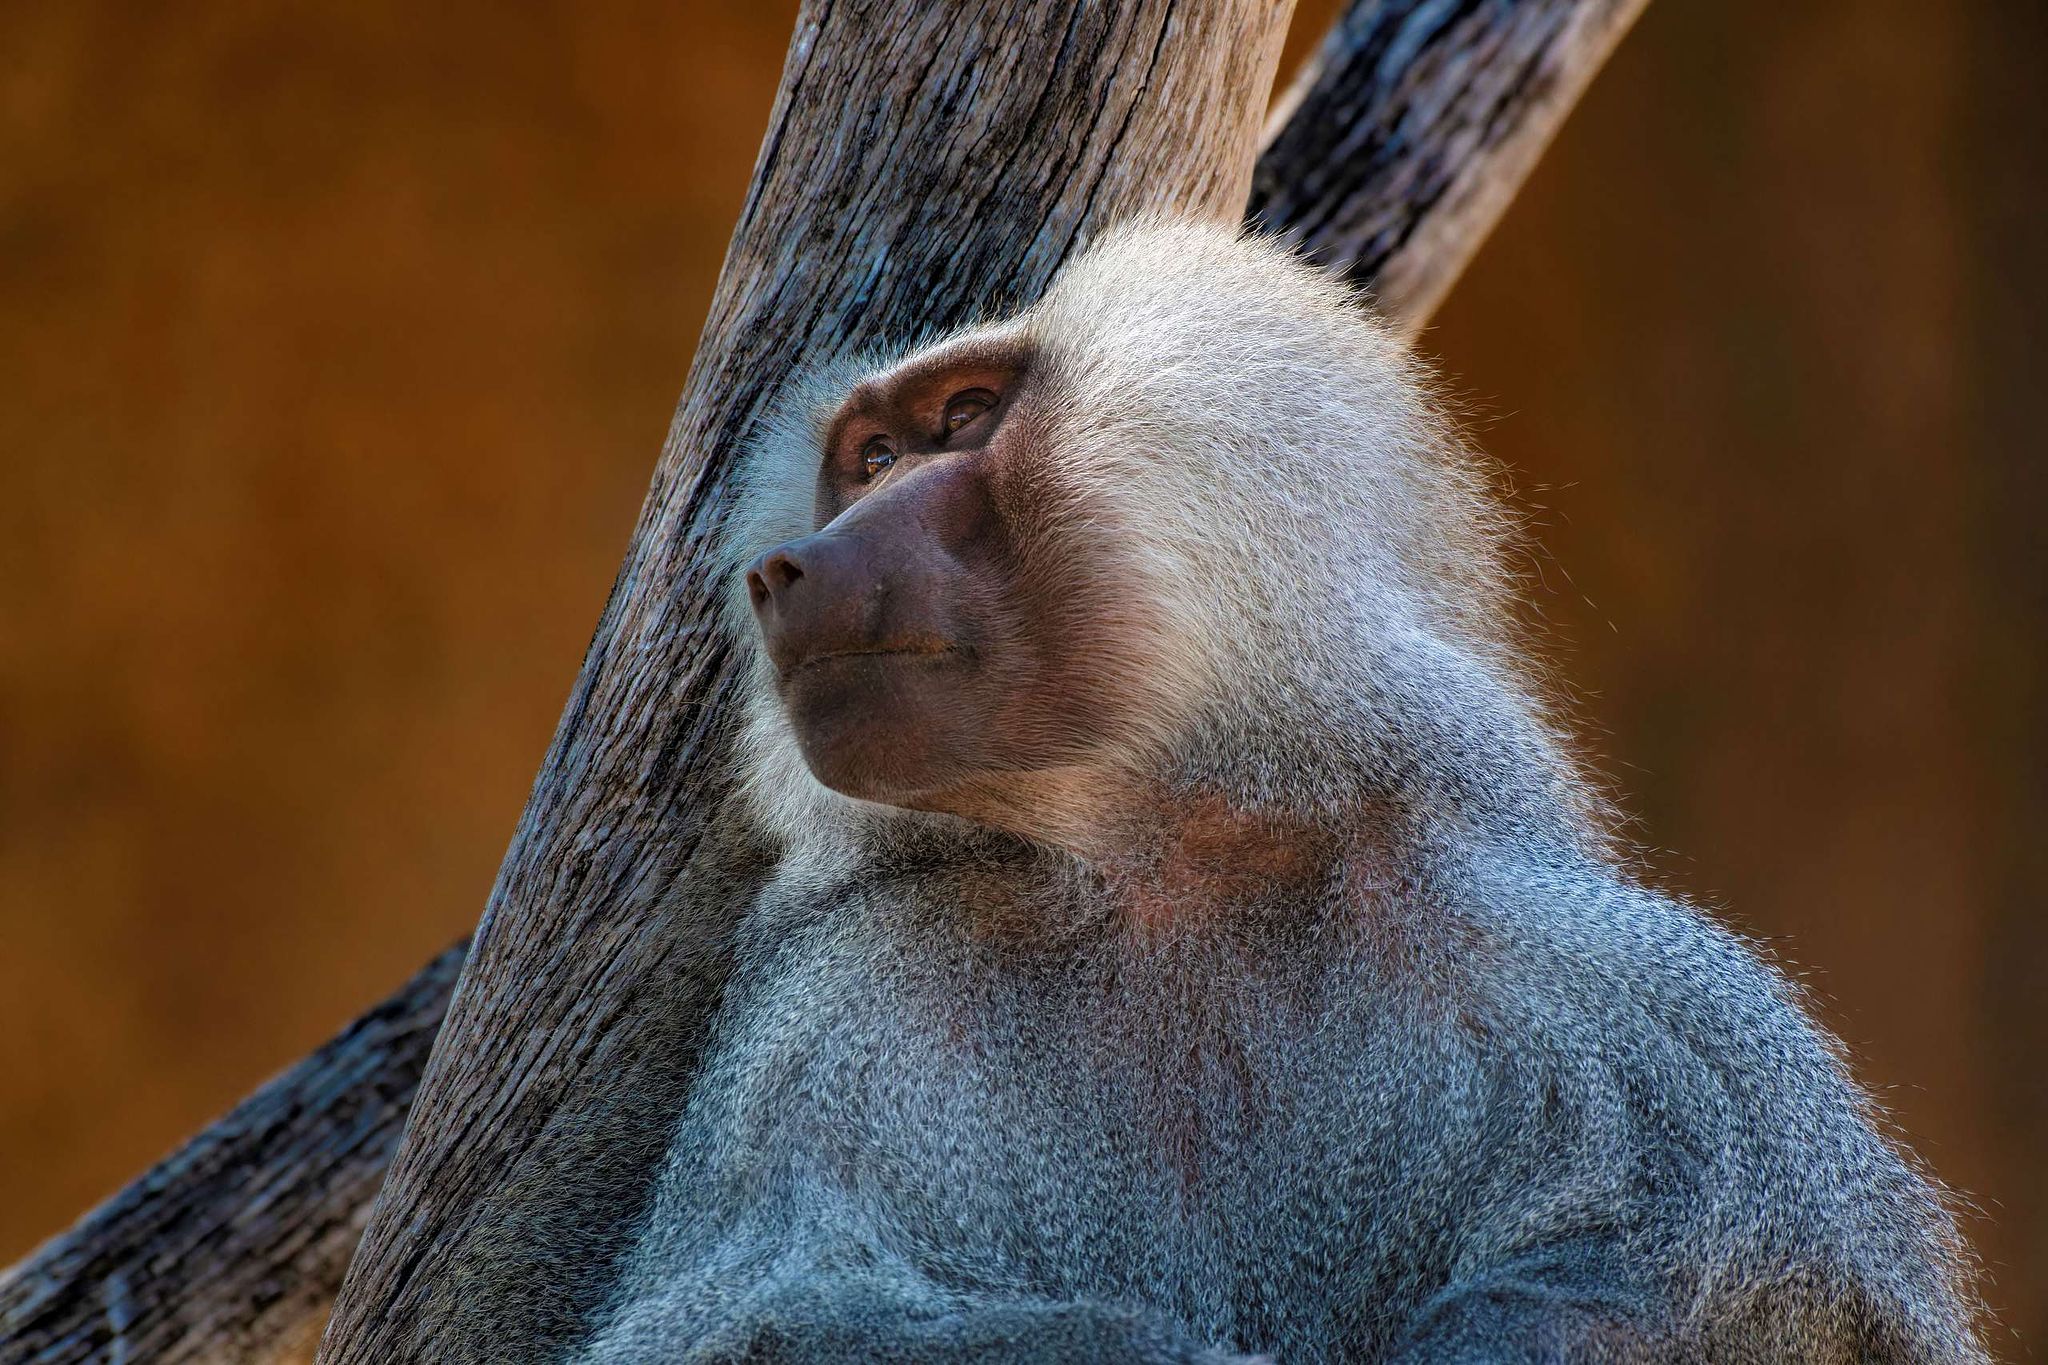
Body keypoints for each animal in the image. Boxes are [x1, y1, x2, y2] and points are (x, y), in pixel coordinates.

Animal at [556, 218, 1988, 1363]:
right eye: (863, 457)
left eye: (960, 421)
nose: (787, 568)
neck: (1147, 859)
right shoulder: (839, 1007)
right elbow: (749, 1319)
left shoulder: (1578, 966)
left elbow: (1774, 1289)